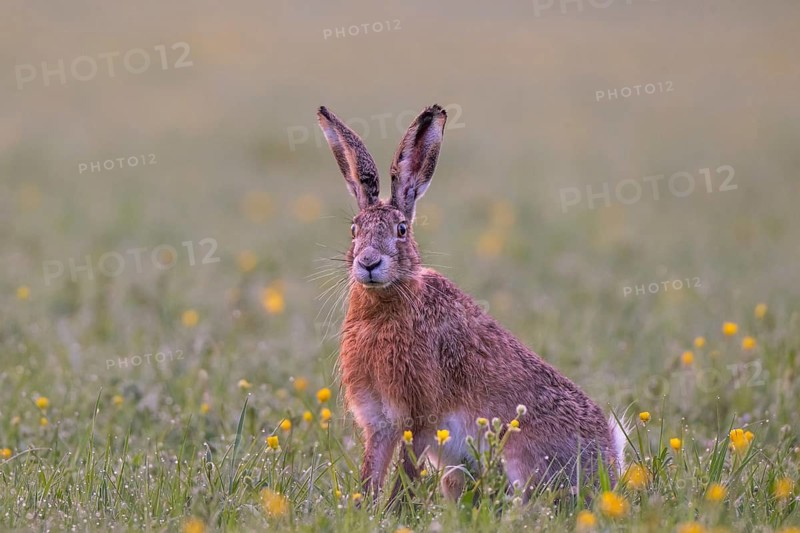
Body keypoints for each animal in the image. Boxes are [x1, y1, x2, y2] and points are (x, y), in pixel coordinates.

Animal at [316, 104, 626, 502]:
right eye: (353, 229)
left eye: (402, 230)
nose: (369, 262)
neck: (384, 306)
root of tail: (611, 461)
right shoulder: (379, 420)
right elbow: (372, 472)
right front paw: (364, 507)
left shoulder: (420, 417)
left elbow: (406, 474)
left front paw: (394, 510)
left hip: (521, 458)